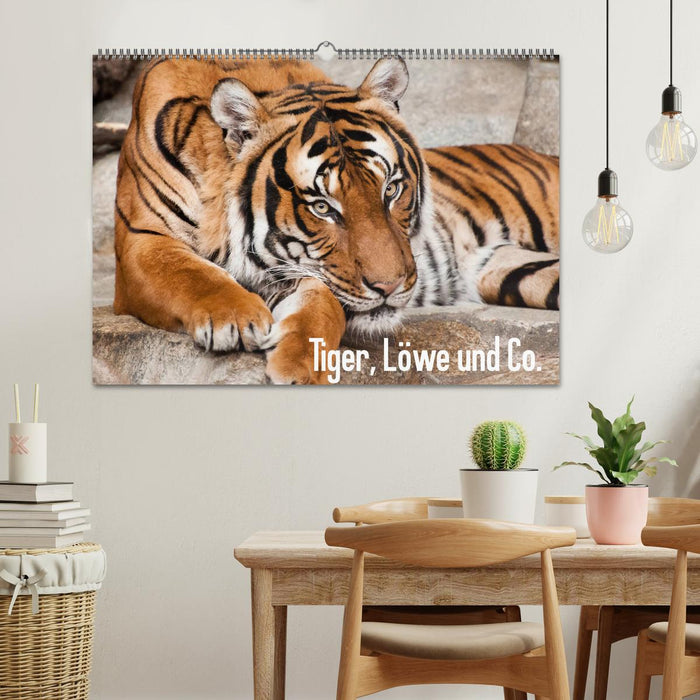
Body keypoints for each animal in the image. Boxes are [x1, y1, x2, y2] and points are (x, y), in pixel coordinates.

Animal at [113, 56, 559, 384]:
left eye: (391, 190)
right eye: (323, 207)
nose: (390, 287)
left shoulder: (301, 268)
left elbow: (324, 304)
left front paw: (299, 364)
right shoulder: (140, 241)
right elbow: (187, 272)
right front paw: (235, 318)